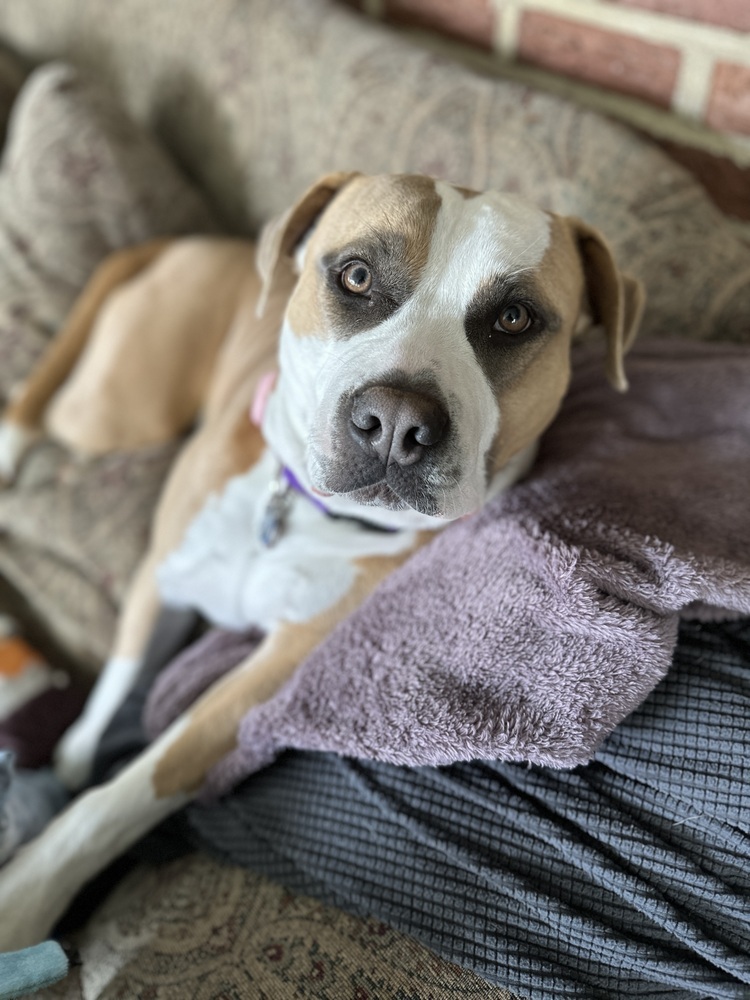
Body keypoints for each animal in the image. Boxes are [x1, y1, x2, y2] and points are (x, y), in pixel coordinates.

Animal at [0, 172, 648, 944]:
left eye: (514, 318)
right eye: (356, 276)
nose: (397, 421)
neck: (301, 514)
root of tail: (198, 243)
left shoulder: (269, 672)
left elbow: (132, 787)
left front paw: (28, 891)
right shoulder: (163, 578)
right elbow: (119, 679)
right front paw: (72, 758)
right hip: (115, 412)